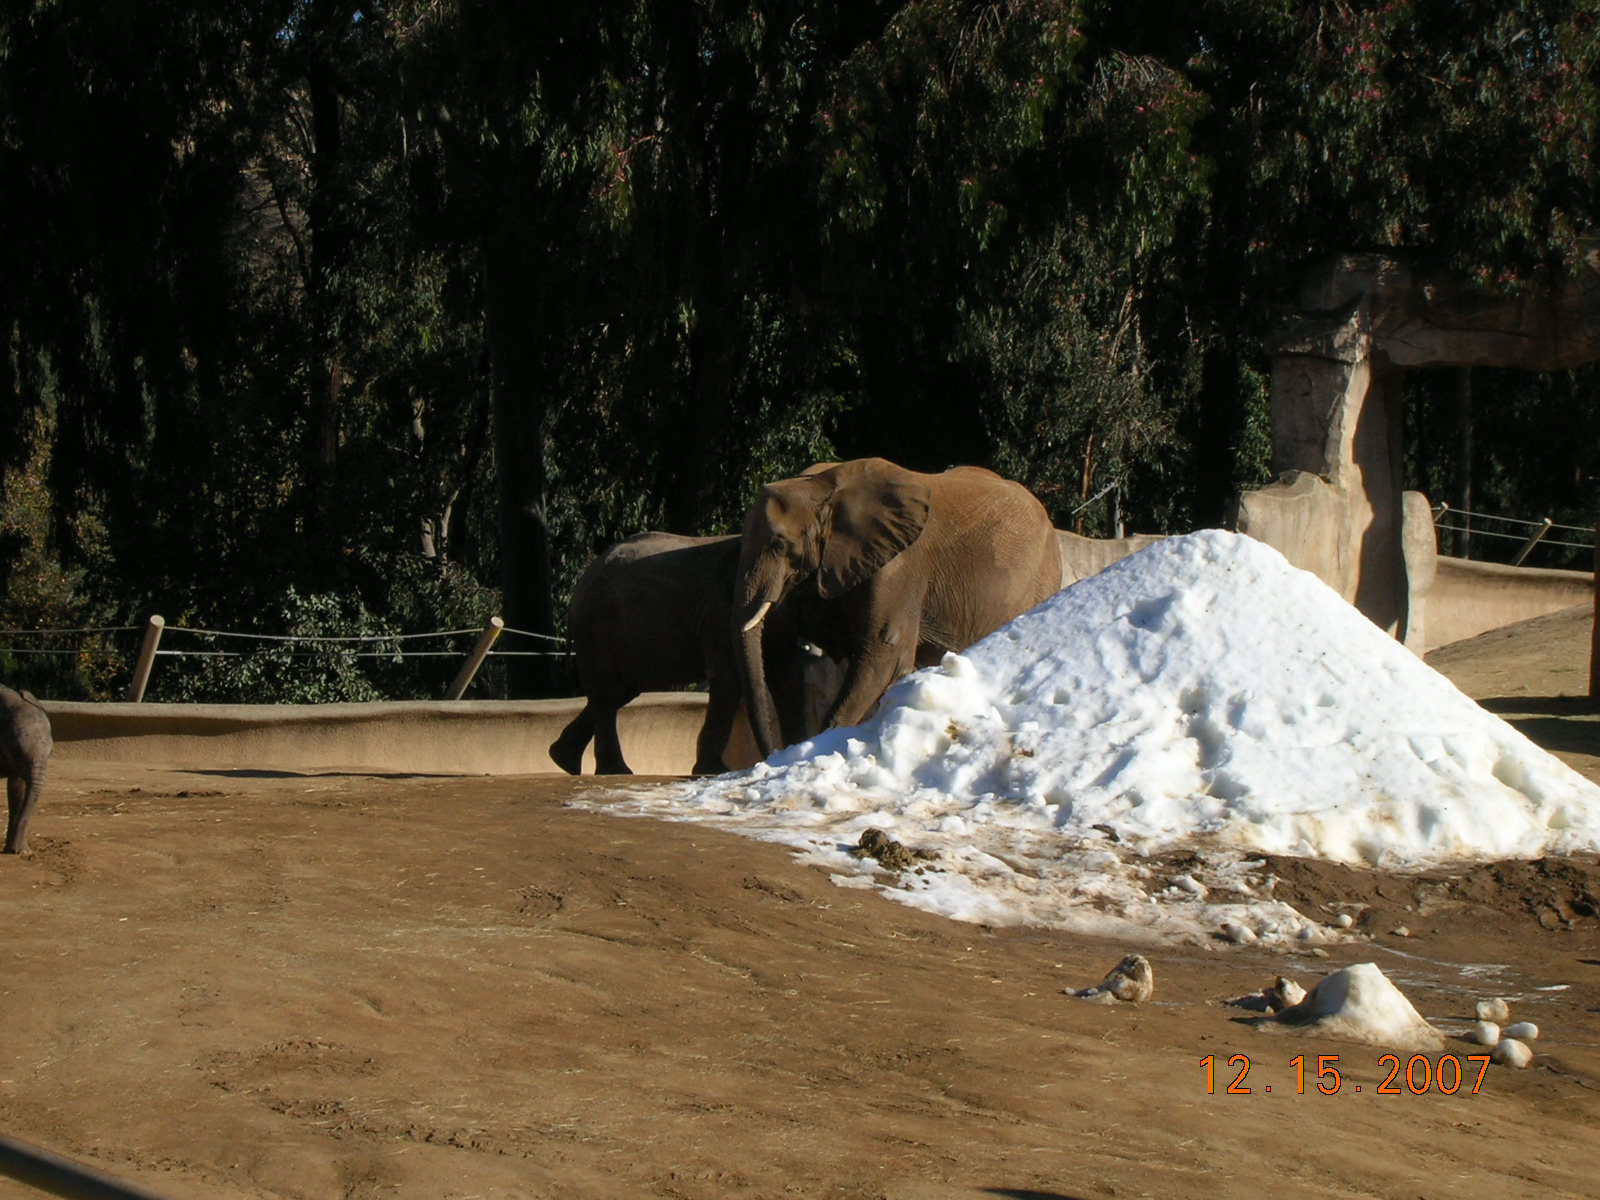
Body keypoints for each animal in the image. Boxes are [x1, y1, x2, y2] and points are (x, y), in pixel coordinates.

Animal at [549, 532, 836, 776]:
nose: (769, 757)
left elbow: (787, 676)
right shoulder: (722, 609)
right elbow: (729, 675)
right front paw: (715, 770)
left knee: (620, 691)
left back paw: (562, 759)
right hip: (596, 625)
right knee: (606, 690)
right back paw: (614, 771)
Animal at [734, 457, 1063, 758]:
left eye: (778, 546)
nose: (771, 753)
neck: (819, 487)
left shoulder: (899, 567)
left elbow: (885, 655)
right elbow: (779, 655)